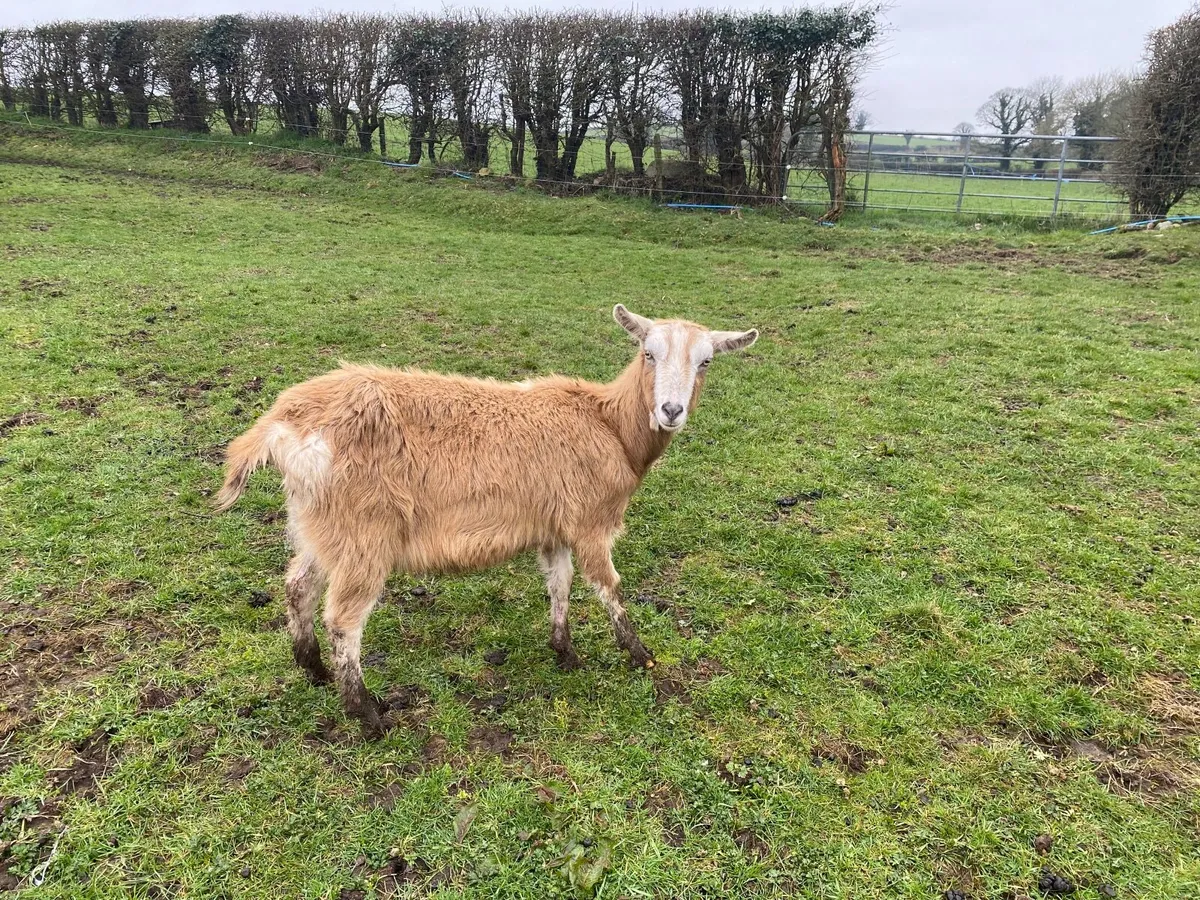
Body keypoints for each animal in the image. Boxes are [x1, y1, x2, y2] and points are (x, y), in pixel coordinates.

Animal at [216, 305, 758, 737]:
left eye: (706, 361)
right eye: (648, 353)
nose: (671, 410)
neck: (607, 423)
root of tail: (282, 421)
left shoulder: (553, 526)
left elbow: (559, 585)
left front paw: (564, 652)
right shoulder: (589, 520)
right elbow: (608, 587)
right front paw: (640, 654)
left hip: (318, 525)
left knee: (297, 587)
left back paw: (314, 671)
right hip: (363, 533)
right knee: (344, 620)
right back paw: (367, 714)